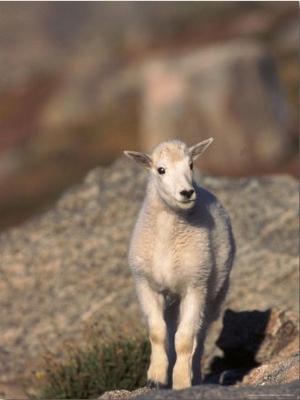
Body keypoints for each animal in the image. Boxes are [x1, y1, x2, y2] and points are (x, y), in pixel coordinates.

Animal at [123, 139, 234, 390]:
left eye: (191, 165)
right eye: (160, 170)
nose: (187, 192)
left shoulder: (195, 285)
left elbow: (185, 340)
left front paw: (182, 381)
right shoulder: (145, 284)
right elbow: (157, 332)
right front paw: (155, 377)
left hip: (214, 294)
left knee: (198, 337)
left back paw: (196, 377)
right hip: (173, 299)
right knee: (171, 329)